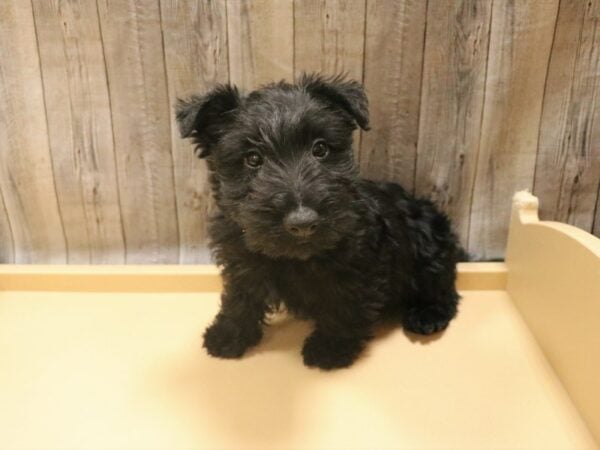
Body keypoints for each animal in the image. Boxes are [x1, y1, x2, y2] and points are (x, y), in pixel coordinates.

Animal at [176, 74, 462, 370]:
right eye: (253, 158)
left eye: (320, 148)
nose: (303, 222)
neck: (294, 257)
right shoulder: (242, 261)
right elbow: (240, 297)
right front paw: (228, 335)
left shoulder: (356, 269)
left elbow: (344, 305)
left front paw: (330, 347)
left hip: (428, 246)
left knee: (443, 287)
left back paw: (427, 315)